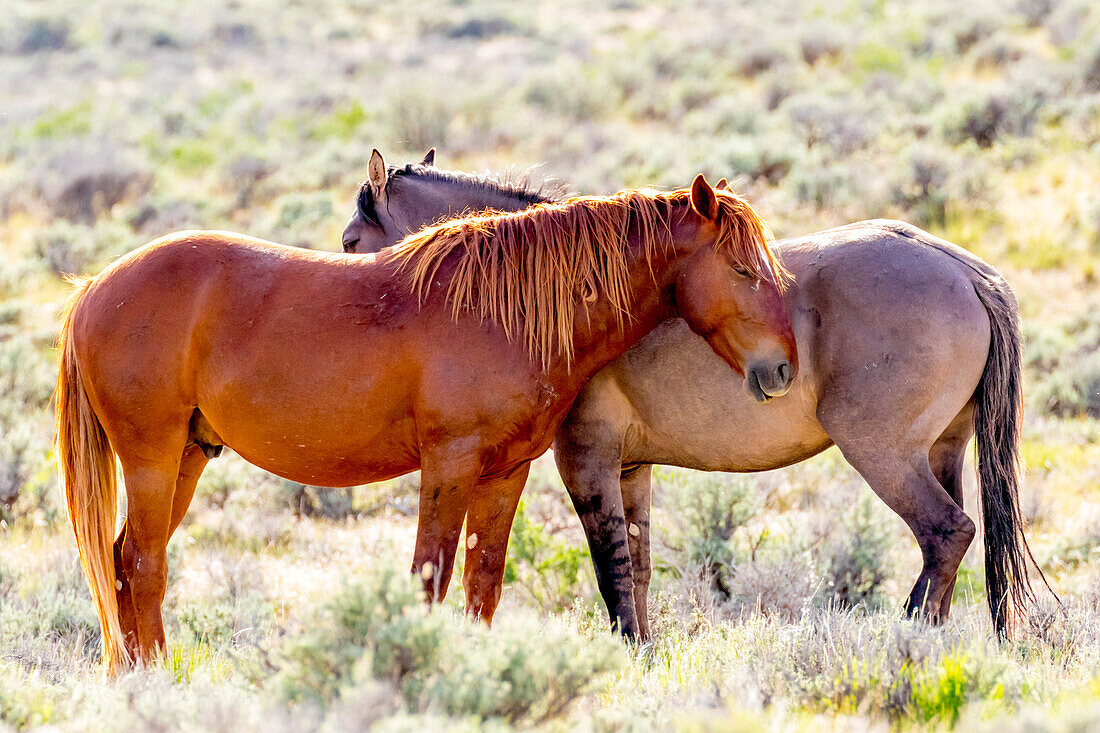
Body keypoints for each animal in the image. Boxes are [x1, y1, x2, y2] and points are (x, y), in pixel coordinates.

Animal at [347, 149, 1051, 638]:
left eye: (352, 242)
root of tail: (964, 271)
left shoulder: (587, 460)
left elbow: (610, 571)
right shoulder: (630, 468)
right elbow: (637, 569)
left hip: (884, 454)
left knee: (946, 533)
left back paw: (905, 637)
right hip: (942, 451)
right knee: (953, 545)